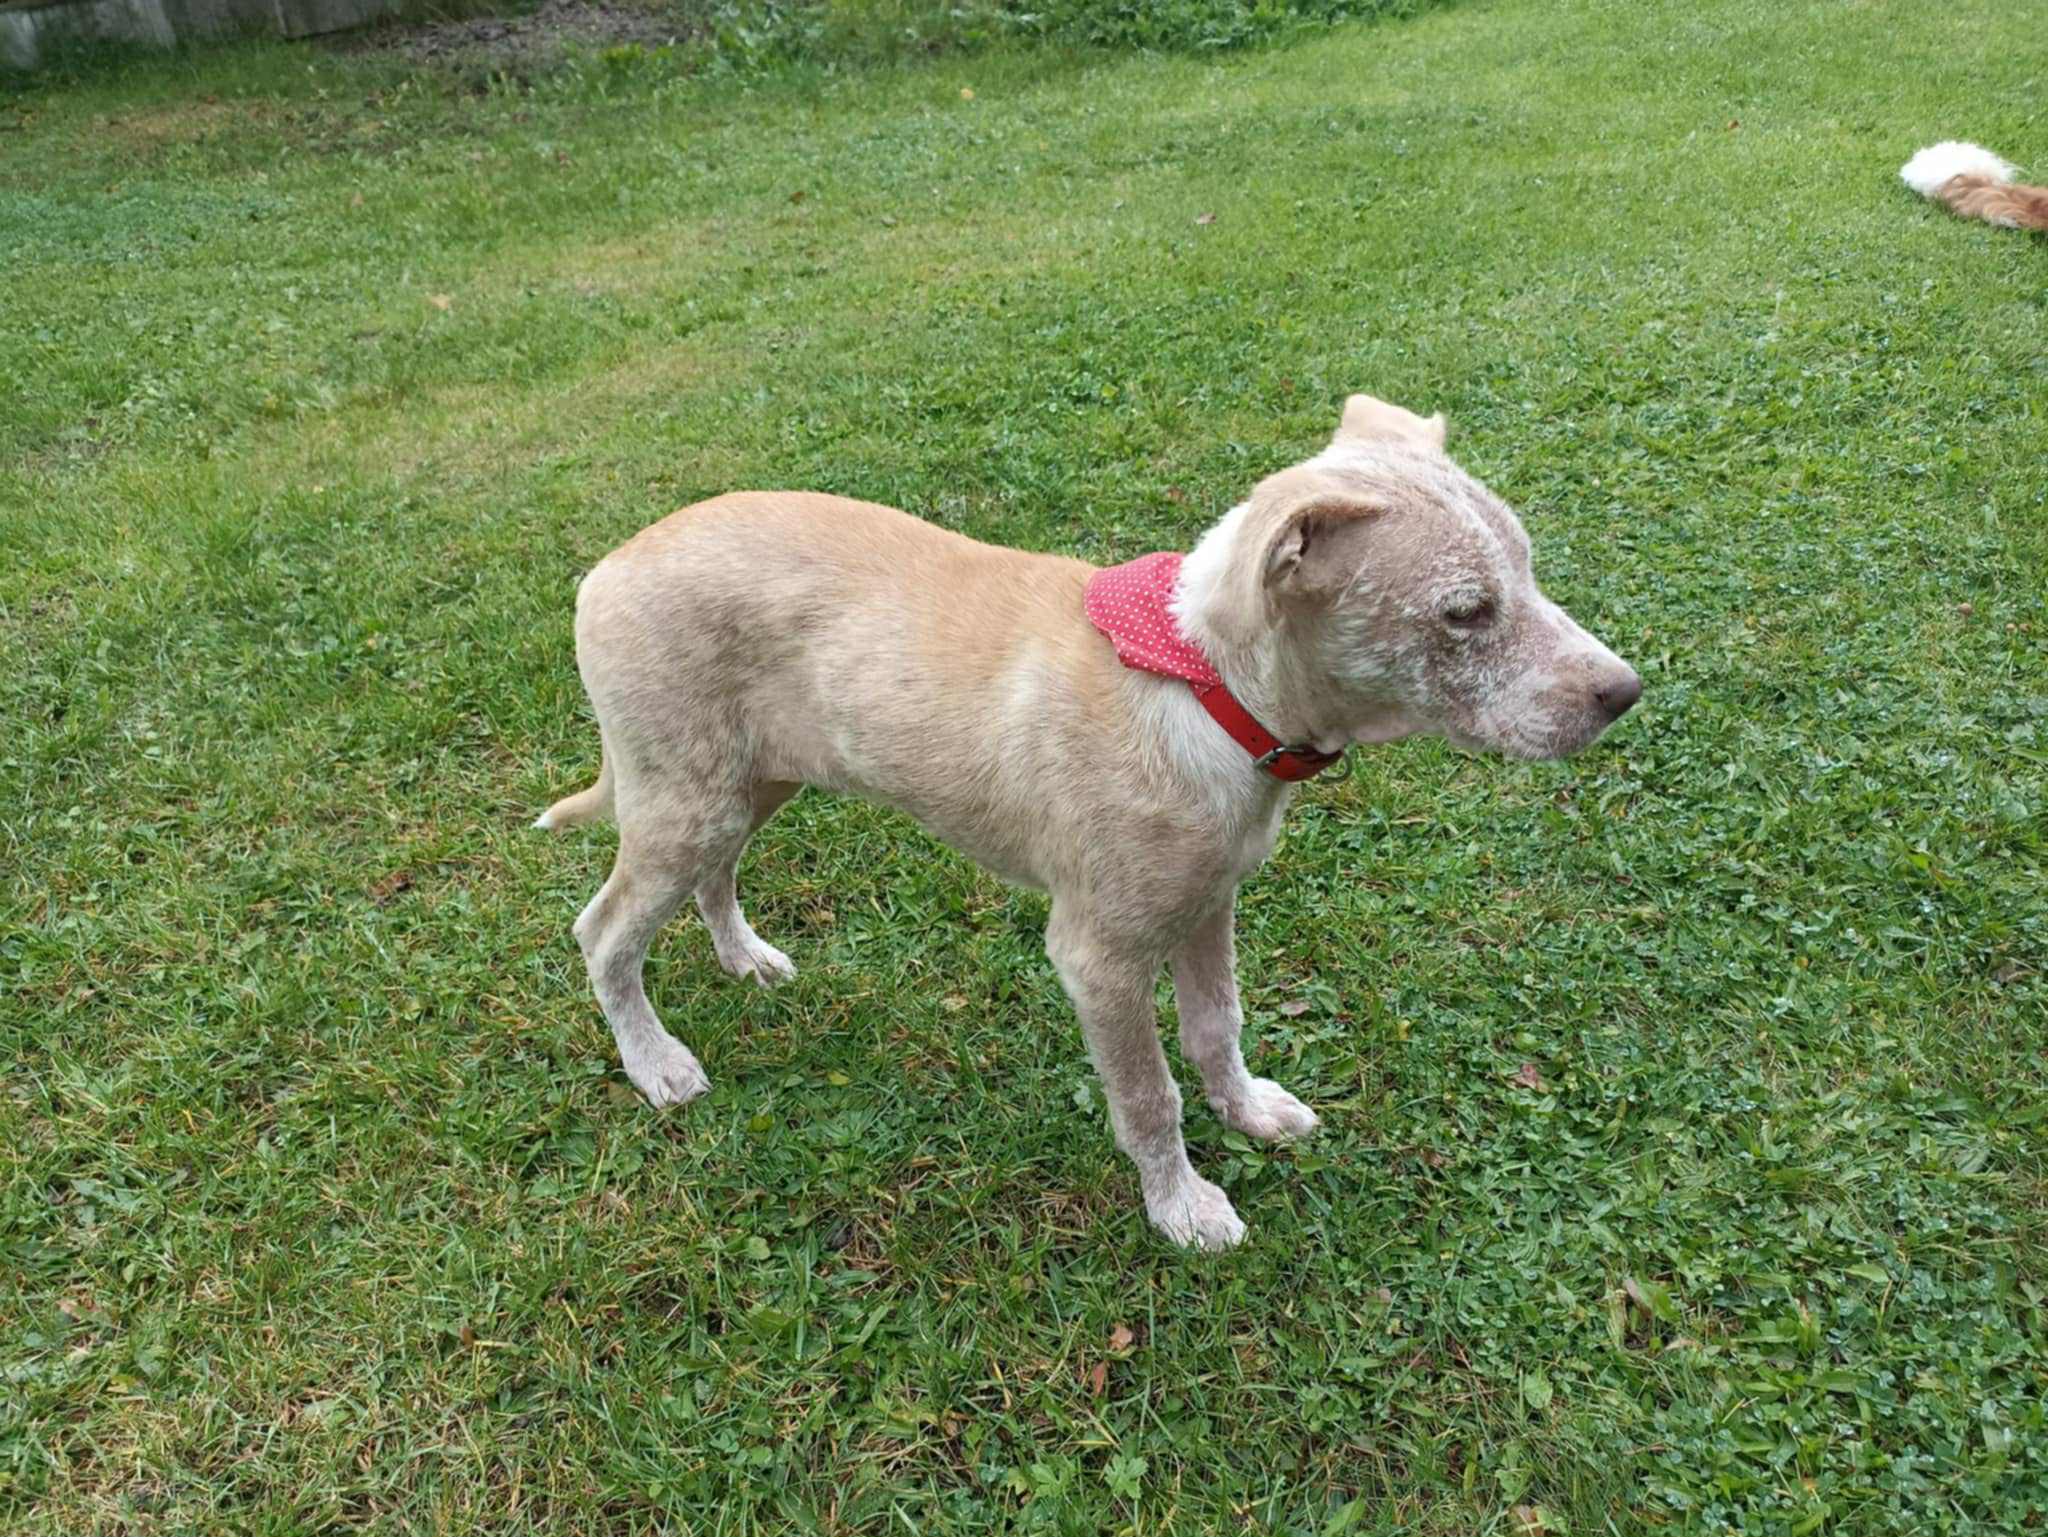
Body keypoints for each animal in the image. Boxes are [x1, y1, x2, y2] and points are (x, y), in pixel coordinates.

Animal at [536, 395, 1640, 1249]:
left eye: (1529, 569)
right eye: (1464, 612)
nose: (1623, 694)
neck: (1203, 685)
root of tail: (604, 568)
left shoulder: (1208, 900)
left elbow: (1216, 1026)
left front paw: (1247, 1111)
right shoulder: (1097, 954)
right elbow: (1149, 1095)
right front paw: (1182, 1206)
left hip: (745, 783)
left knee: (711, 879)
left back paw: (745, 958)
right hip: (686, 796)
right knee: (603, 931)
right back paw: (656, 1063)